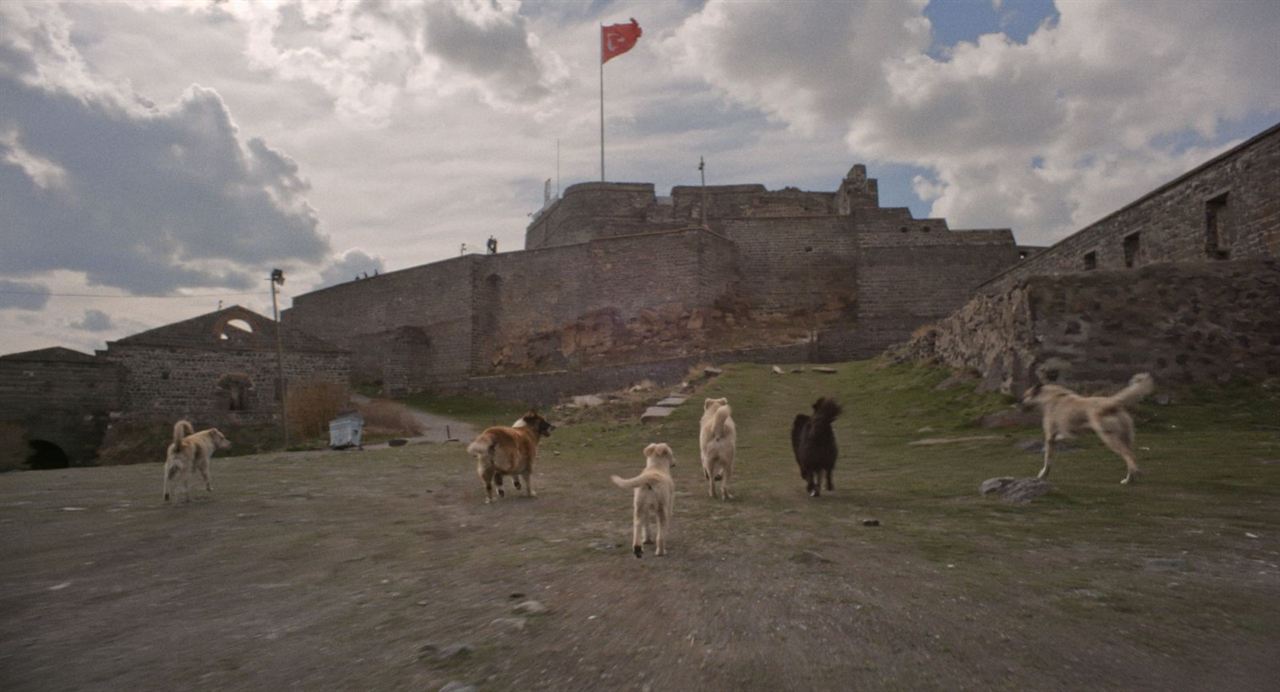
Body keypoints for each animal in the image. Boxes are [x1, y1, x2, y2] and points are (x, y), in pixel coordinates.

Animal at [1018, 376, 1162, 483]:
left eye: (1025, 396)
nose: (1019, 406)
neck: (1050, 398)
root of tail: (1111, 402)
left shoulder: (1051, 436)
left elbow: (1048, 459)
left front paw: (1042, 475)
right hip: (1126, 437)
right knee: (1130, 456)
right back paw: (1129, 478)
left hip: (1109, 438)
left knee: (1129, 456)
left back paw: (1133, 476)